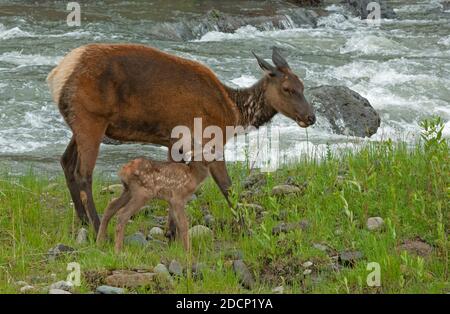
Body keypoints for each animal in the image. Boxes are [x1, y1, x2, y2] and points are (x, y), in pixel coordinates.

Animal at [44, 45, 312, 234]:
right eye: (287, 89)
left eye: (303, 86)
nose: (311, 116)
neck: (233, 113)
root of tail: (57, 76)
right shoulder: (208, 139)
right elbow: (227, 186)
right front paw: (246, 228)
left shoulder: (175, 143)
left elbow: (174, 181)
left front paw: (171, 232)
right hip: (91, 119)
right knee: (83, 173)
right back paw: (98, 226)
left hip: (79, 125)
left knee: (66, 162)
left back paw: (83, 221)